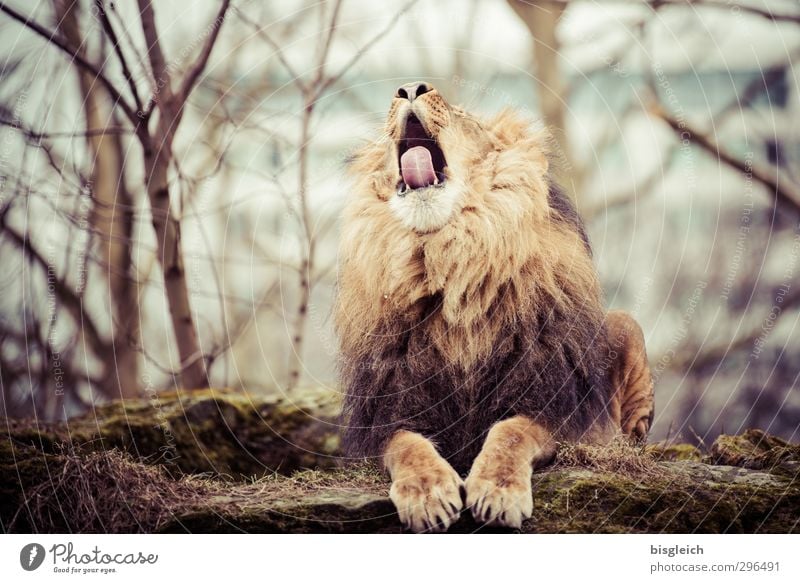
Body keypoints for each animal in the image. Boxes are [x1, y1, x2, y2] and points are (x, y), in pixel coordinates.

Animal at [334, 82, 652, 532]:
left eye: (463, 115)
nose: (410, 87)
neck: (449, 260)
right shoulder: (388, 413)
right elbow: (407, 445)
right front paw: (429, 494)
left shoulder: (551, 407)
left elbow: (511, 433)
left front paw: (498, 492)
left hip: (625, 325)